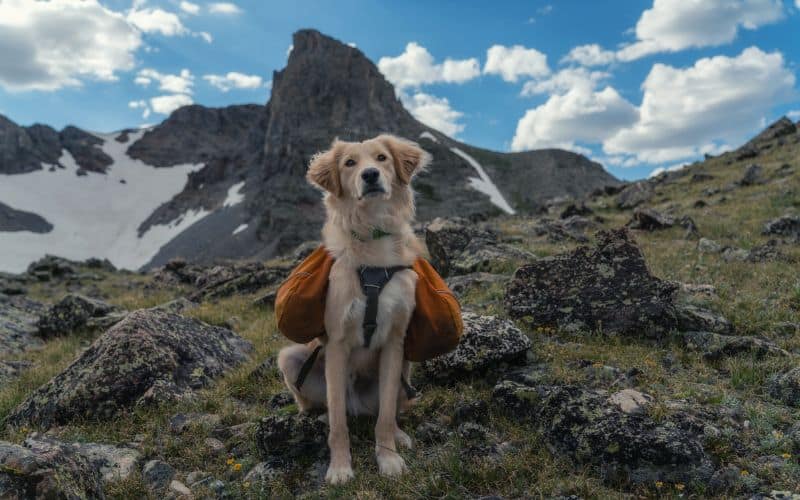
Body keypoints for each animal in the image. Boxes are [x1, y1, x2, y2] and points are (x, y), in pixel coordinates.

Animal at [276, 134, 432, 484]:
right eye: (349, 163)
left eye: (382, 158)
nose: (370, 175)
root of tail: (357, 404)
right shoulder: (336, 344)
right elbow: (339, 426)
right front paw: (339, 467)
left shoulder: (394, 343)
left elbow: (385, 416)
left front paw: (388, 458)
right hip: (291, 358)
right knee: (325, 409)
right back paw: (318, 418)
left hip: (405, 366)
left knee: (389, 409)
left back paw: (399, 435)